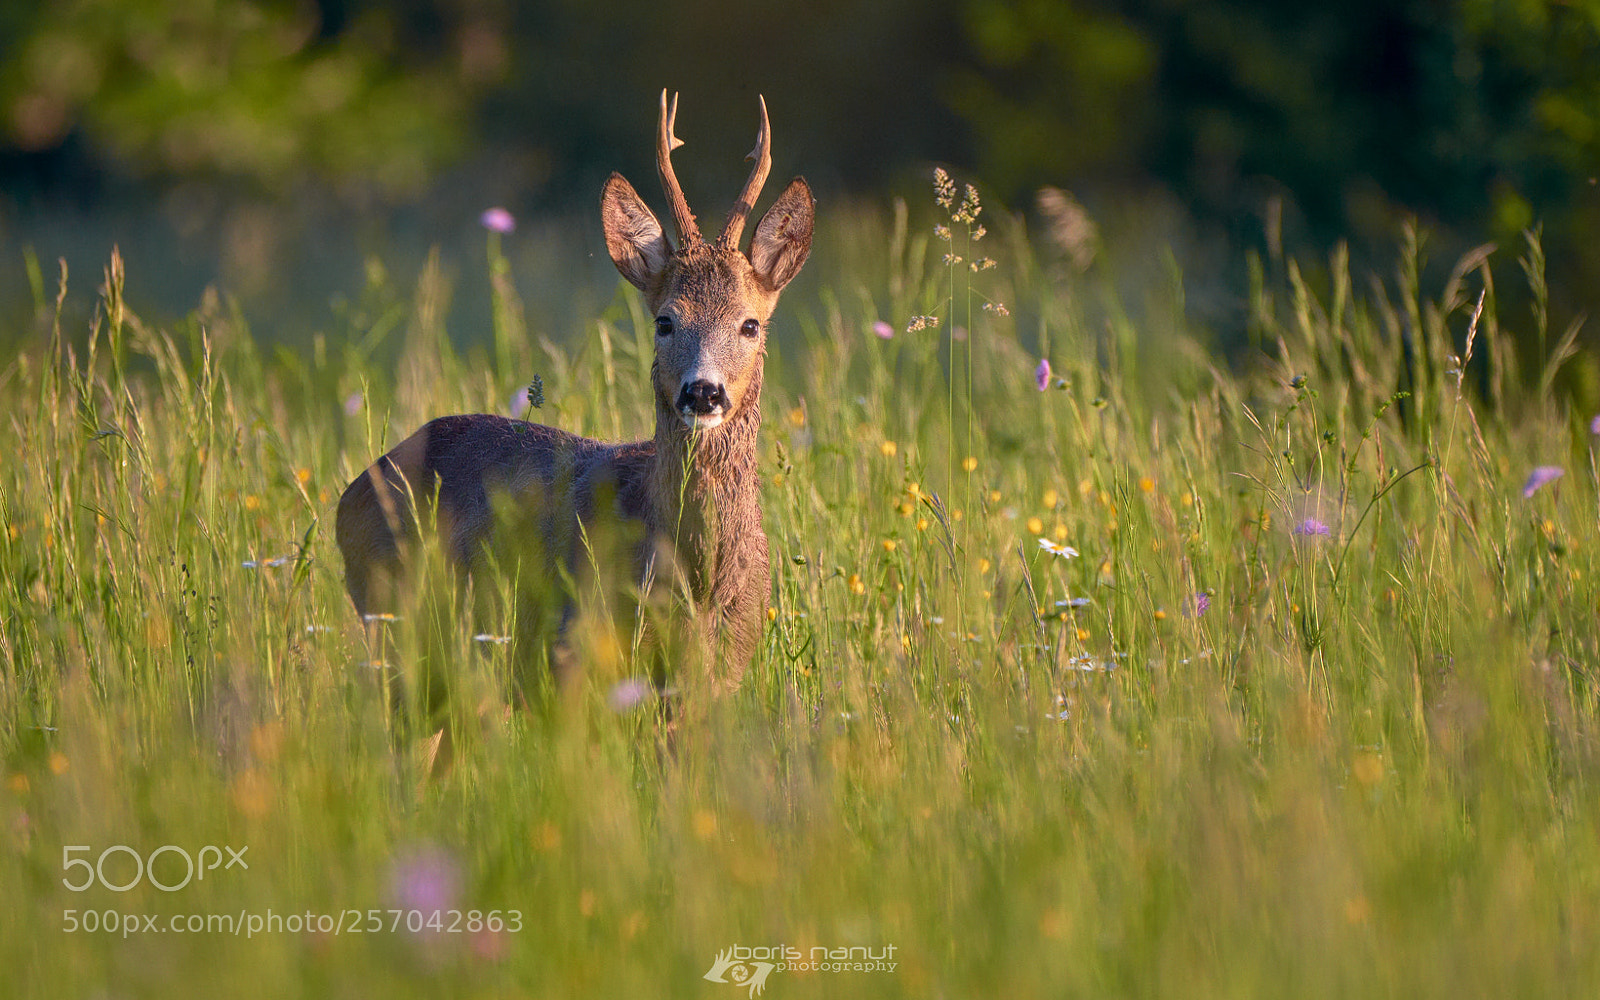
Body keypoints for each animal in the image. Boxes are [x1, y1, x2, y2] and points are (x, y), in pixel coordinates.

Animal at [334, 91, 813, 754]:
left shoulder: (717, 673)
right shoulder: (570, 653)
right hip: (397, 627)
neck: (695, 579)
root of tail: (350, 493)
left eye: (750, 324)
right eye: (664, 320)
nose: (704, 392)